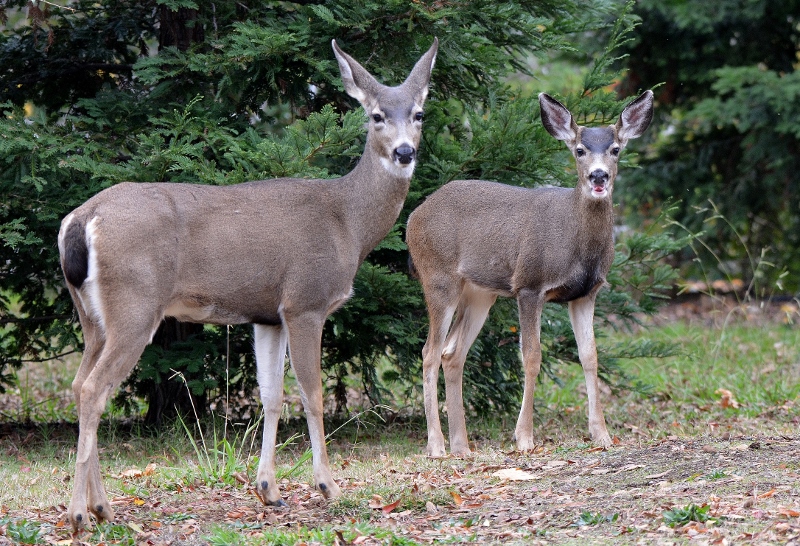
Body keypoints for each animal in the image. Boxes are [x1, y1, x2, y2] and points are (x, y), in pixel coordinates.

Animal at [57, 37, 438, 528]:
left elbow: (271, 396)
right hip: (134, 306)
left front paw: (269, 490)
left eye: (419, 113)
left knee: (81, 384)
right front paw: (328, 486)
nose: (404, 152)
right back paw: (81, 514)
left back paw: (101, 507)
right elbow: (312, 394)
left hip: (92, 316)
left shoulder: (267, 316)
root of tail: (81, 220)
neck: (347, 223)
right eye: (375, 115)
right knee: (92, 389)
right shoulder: (305, 302)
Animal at [404, 89, 652, 454]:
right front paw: (524, 437)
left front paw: (602, 435)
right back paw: (436, 446)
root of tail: (413, 217)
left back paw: (461, 446)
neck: (577, 243)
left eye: (616, 149)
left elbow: (590, 356)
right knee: (429, 353)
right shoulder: (530, 284)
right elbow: (532, 356)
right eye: (579, 149)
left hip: (480, 294)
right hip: (438, 277)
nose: (598, 176)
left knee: (452, 354)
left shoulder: (586, 293)